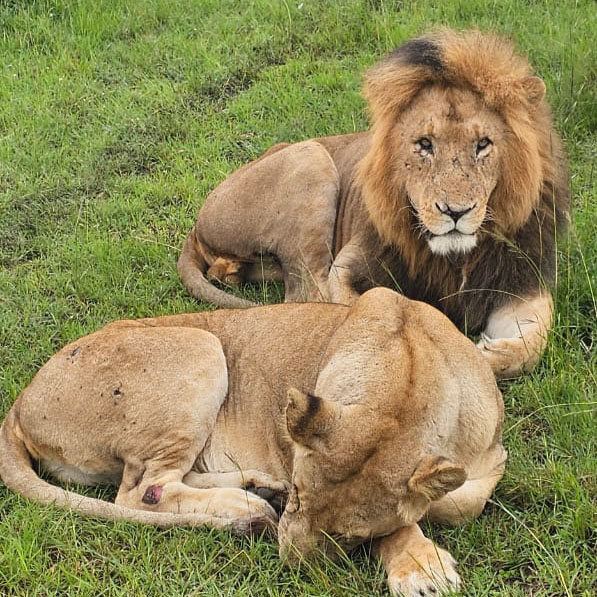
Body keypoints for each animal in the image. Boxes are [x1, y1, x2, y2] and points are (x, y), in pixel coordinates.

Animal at [0, 288, 506, 592]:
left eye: (350, 536)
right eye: (301, 496)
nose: (292, 566)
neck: (410, 372)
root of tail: (20, 402)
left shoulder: (492, 457)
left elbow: (459, 502)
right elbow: (424, 512)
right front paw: (421, 568)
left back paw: (256, 490)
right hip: (200, 347)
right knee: (141, 492)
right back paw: (246, 507)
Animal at [179, 29, 572, 378]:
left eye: (483, 144)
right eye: (425, 144)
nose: (455, 212)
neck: (453, 259)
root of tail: (195, 227)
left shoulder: (522, 279)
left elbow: (533, 342)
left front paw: (489, 350)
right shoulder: (350, 265)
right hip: (311, 157)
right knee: (304, 294)